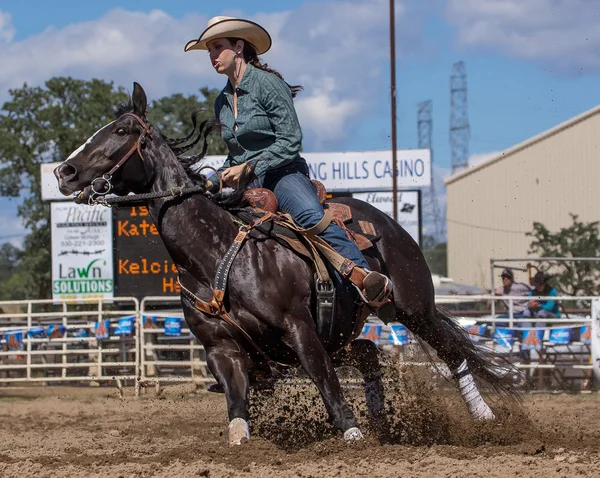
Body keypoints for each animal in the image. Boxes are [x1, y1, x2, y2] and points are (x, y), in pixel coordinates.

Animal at [54, 82, 516, 444]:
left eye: (121, 130)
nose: (64, 171)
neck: (214, 253)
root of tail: (388, 224)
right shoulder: (222, 350)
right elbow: (237, 411)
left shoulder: (300, 328)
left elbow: (327, 384)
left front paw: (353, 435)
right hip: (347, 329)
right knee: (368, 353)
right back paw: (383, 425)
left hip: (413, 306)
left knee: (451, 350)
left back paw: (485, 417)